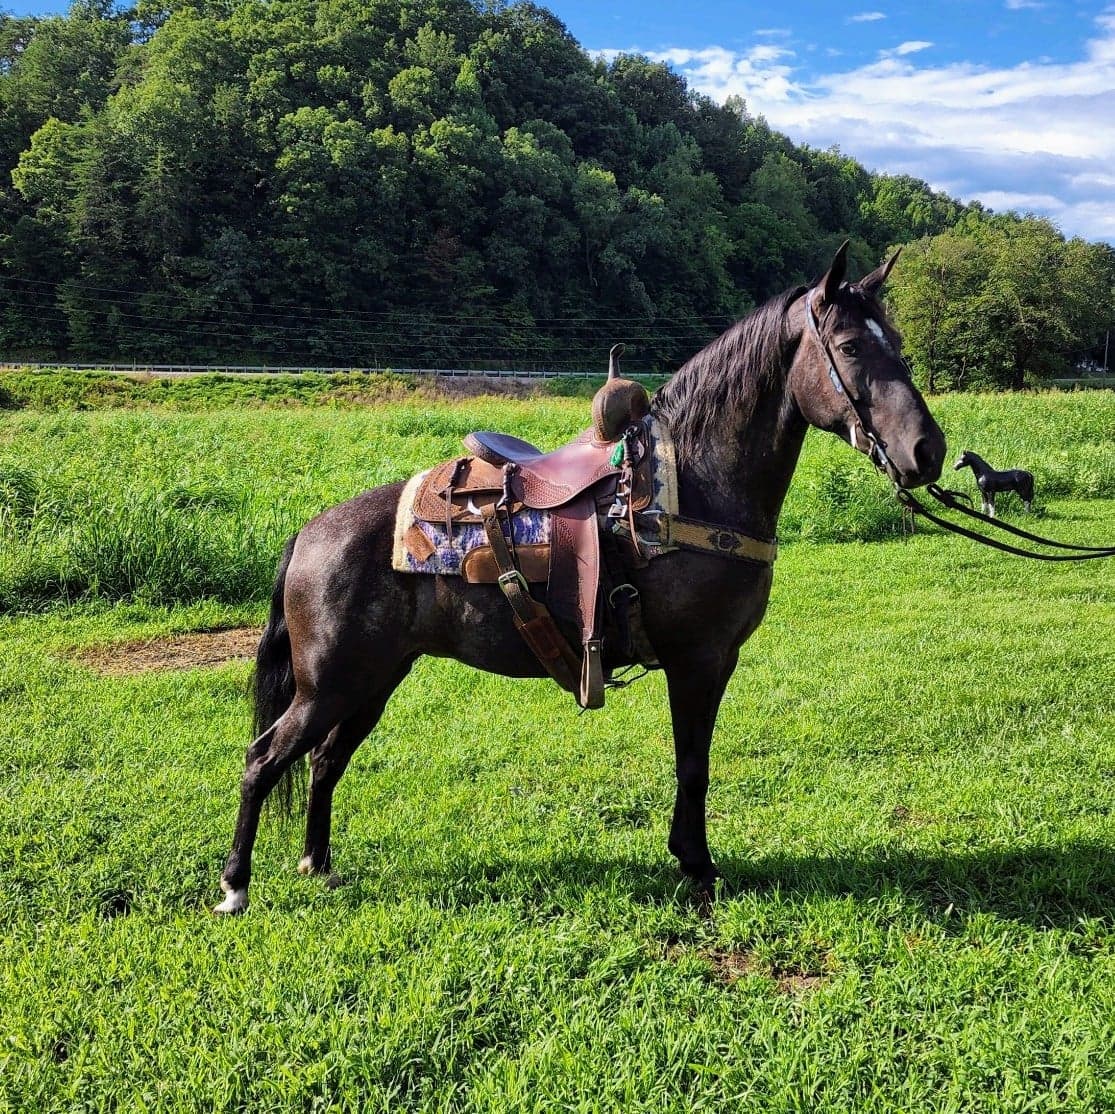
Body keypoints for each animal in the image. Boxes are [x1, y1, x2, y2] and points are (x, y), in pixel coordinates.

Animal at [214, 243, 947, 914]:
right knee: (263, 760)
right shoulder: (699, 659)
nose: (928, 452)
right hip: (330, 685)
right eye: (850, 347)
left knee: (323, 760)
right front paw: (697, 868)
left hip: (372, 680)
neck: (691, 485)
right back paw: (235, 887)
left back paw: (318, 865)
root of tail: (309, 533)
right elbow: (693, 764)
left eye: (897, 344)